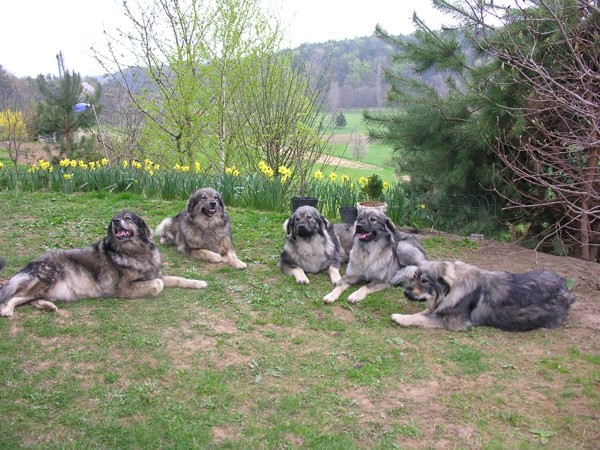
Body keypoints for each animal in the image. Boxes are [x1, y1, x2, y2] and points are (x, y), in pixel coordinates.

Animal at [0, 210, 207, 316]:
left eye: (127, 218)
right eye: (115, 218)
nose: (116, 221)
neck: (135, 251)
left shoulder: (156, 273)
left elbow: (179, 278)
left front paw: (199, 283)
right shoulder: (124, 287)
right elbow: (158, 284)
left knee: (30, 300)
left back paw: (47, 306)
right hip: (47, 276)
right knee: (12, 298)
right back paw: (8, 310)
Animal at [392, 260, 576, 330]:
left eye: (424, 281)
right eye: (414, 276)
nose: (406, 291)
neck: (453, 287)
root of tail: (566, 290)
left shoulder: (452, 321)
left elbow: (420, 317)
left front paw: (400, 317)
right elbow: (424, 312)